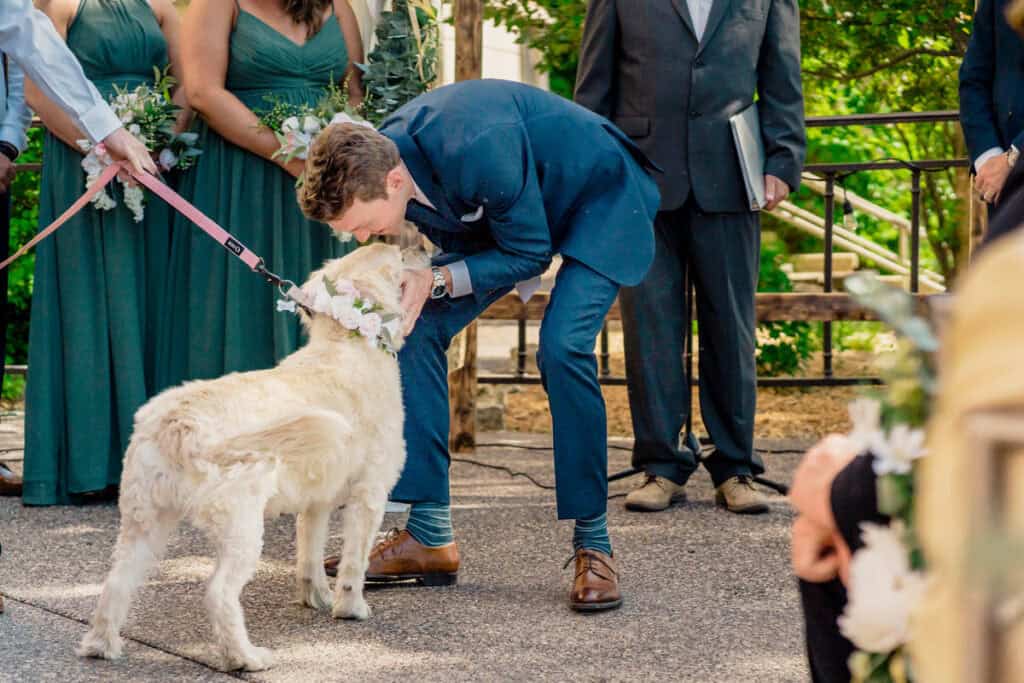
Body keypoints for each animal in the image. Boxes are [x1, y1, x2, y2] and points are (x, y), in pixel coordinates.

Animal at [75, 242, 413, 671]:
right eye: (395, 262)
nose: (411, 245)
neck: (346, 343)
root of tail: (179, 423)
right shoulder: (369, 495)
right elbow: (355, 562)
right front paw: (350, 608)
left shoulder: (316, 501)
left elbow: (310, 555)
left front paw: (316, 598)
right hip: (241, 529)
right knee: (219, 593)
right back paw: (245, 657)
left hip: (143, 523)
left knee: (116, 582)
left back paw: (100, 645)